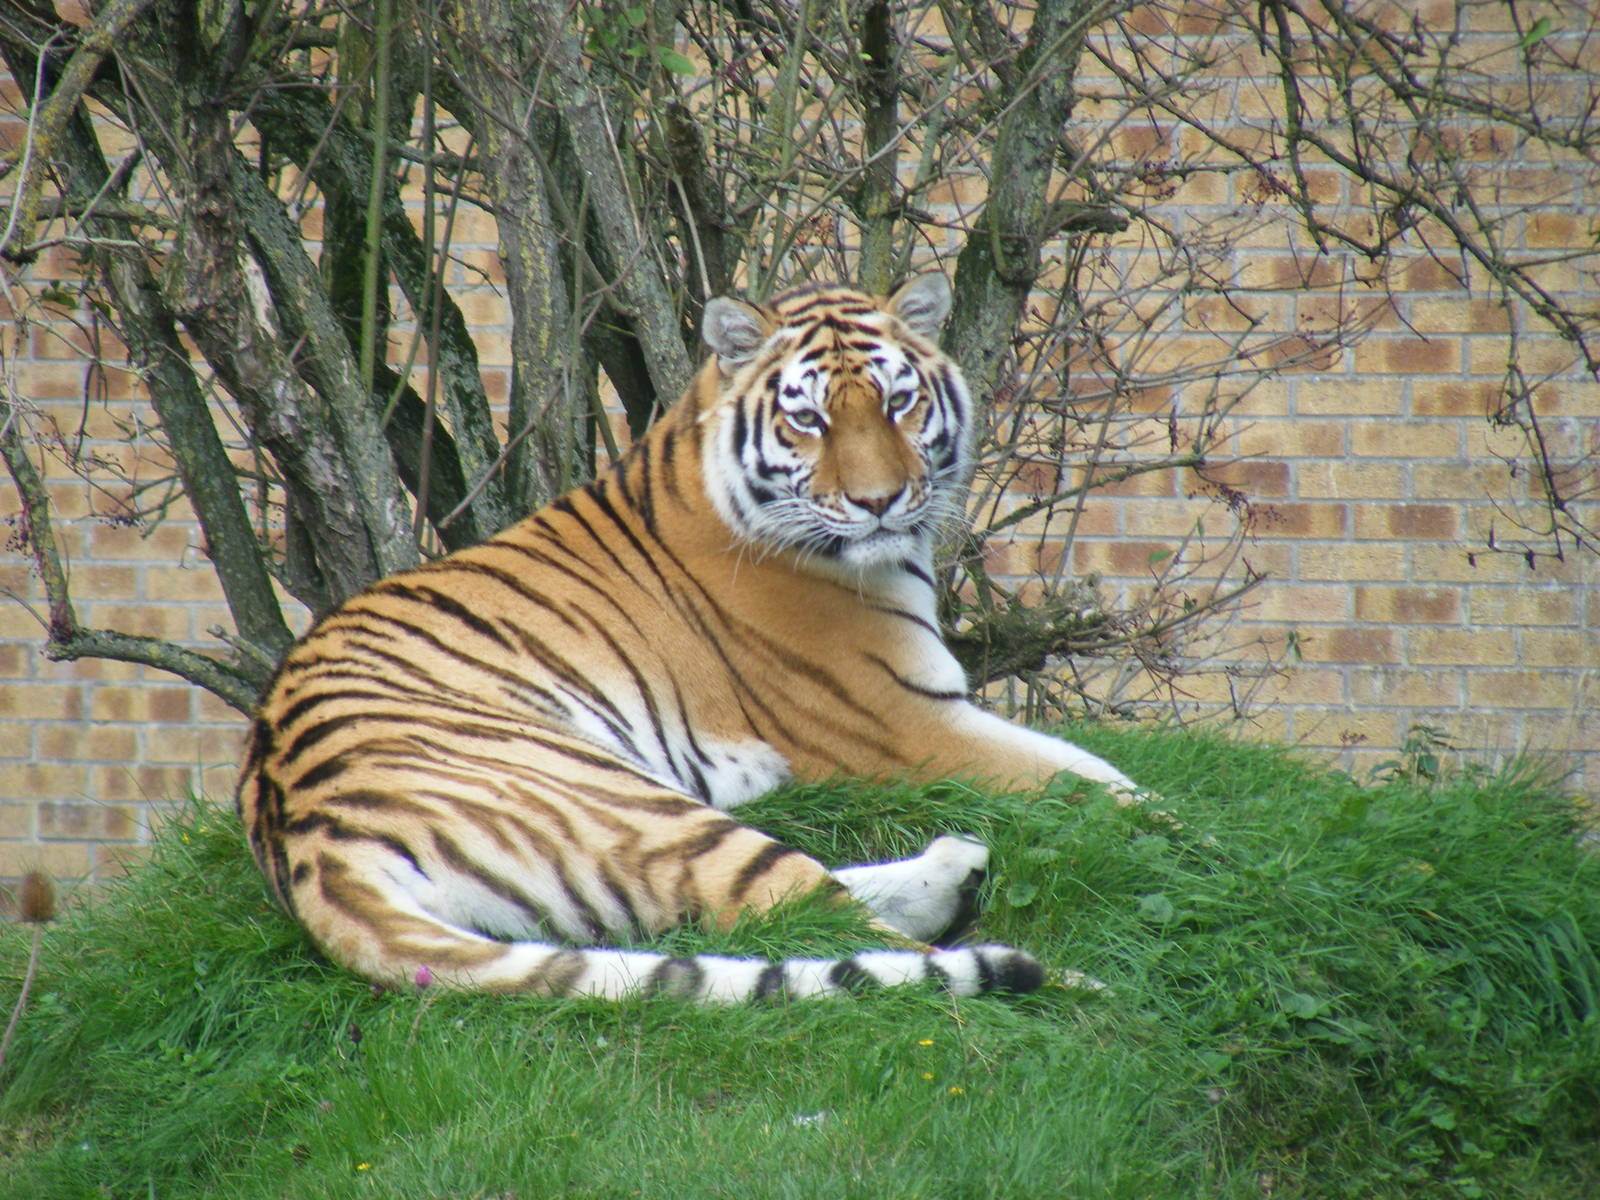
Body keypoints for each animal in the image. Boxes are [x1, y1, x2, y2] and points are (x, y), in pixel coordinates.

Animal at [236, 273, 1150, 1003]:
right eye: (810, 419)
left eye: (899, 402)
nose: (880, 502)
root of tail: (305, 842)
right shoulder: (908, 720)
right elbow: (1093, 780)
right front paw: (1165, 826)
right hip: (625, 796)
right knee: (798, 914)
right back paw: (1069, 983)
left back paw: (955, 871)